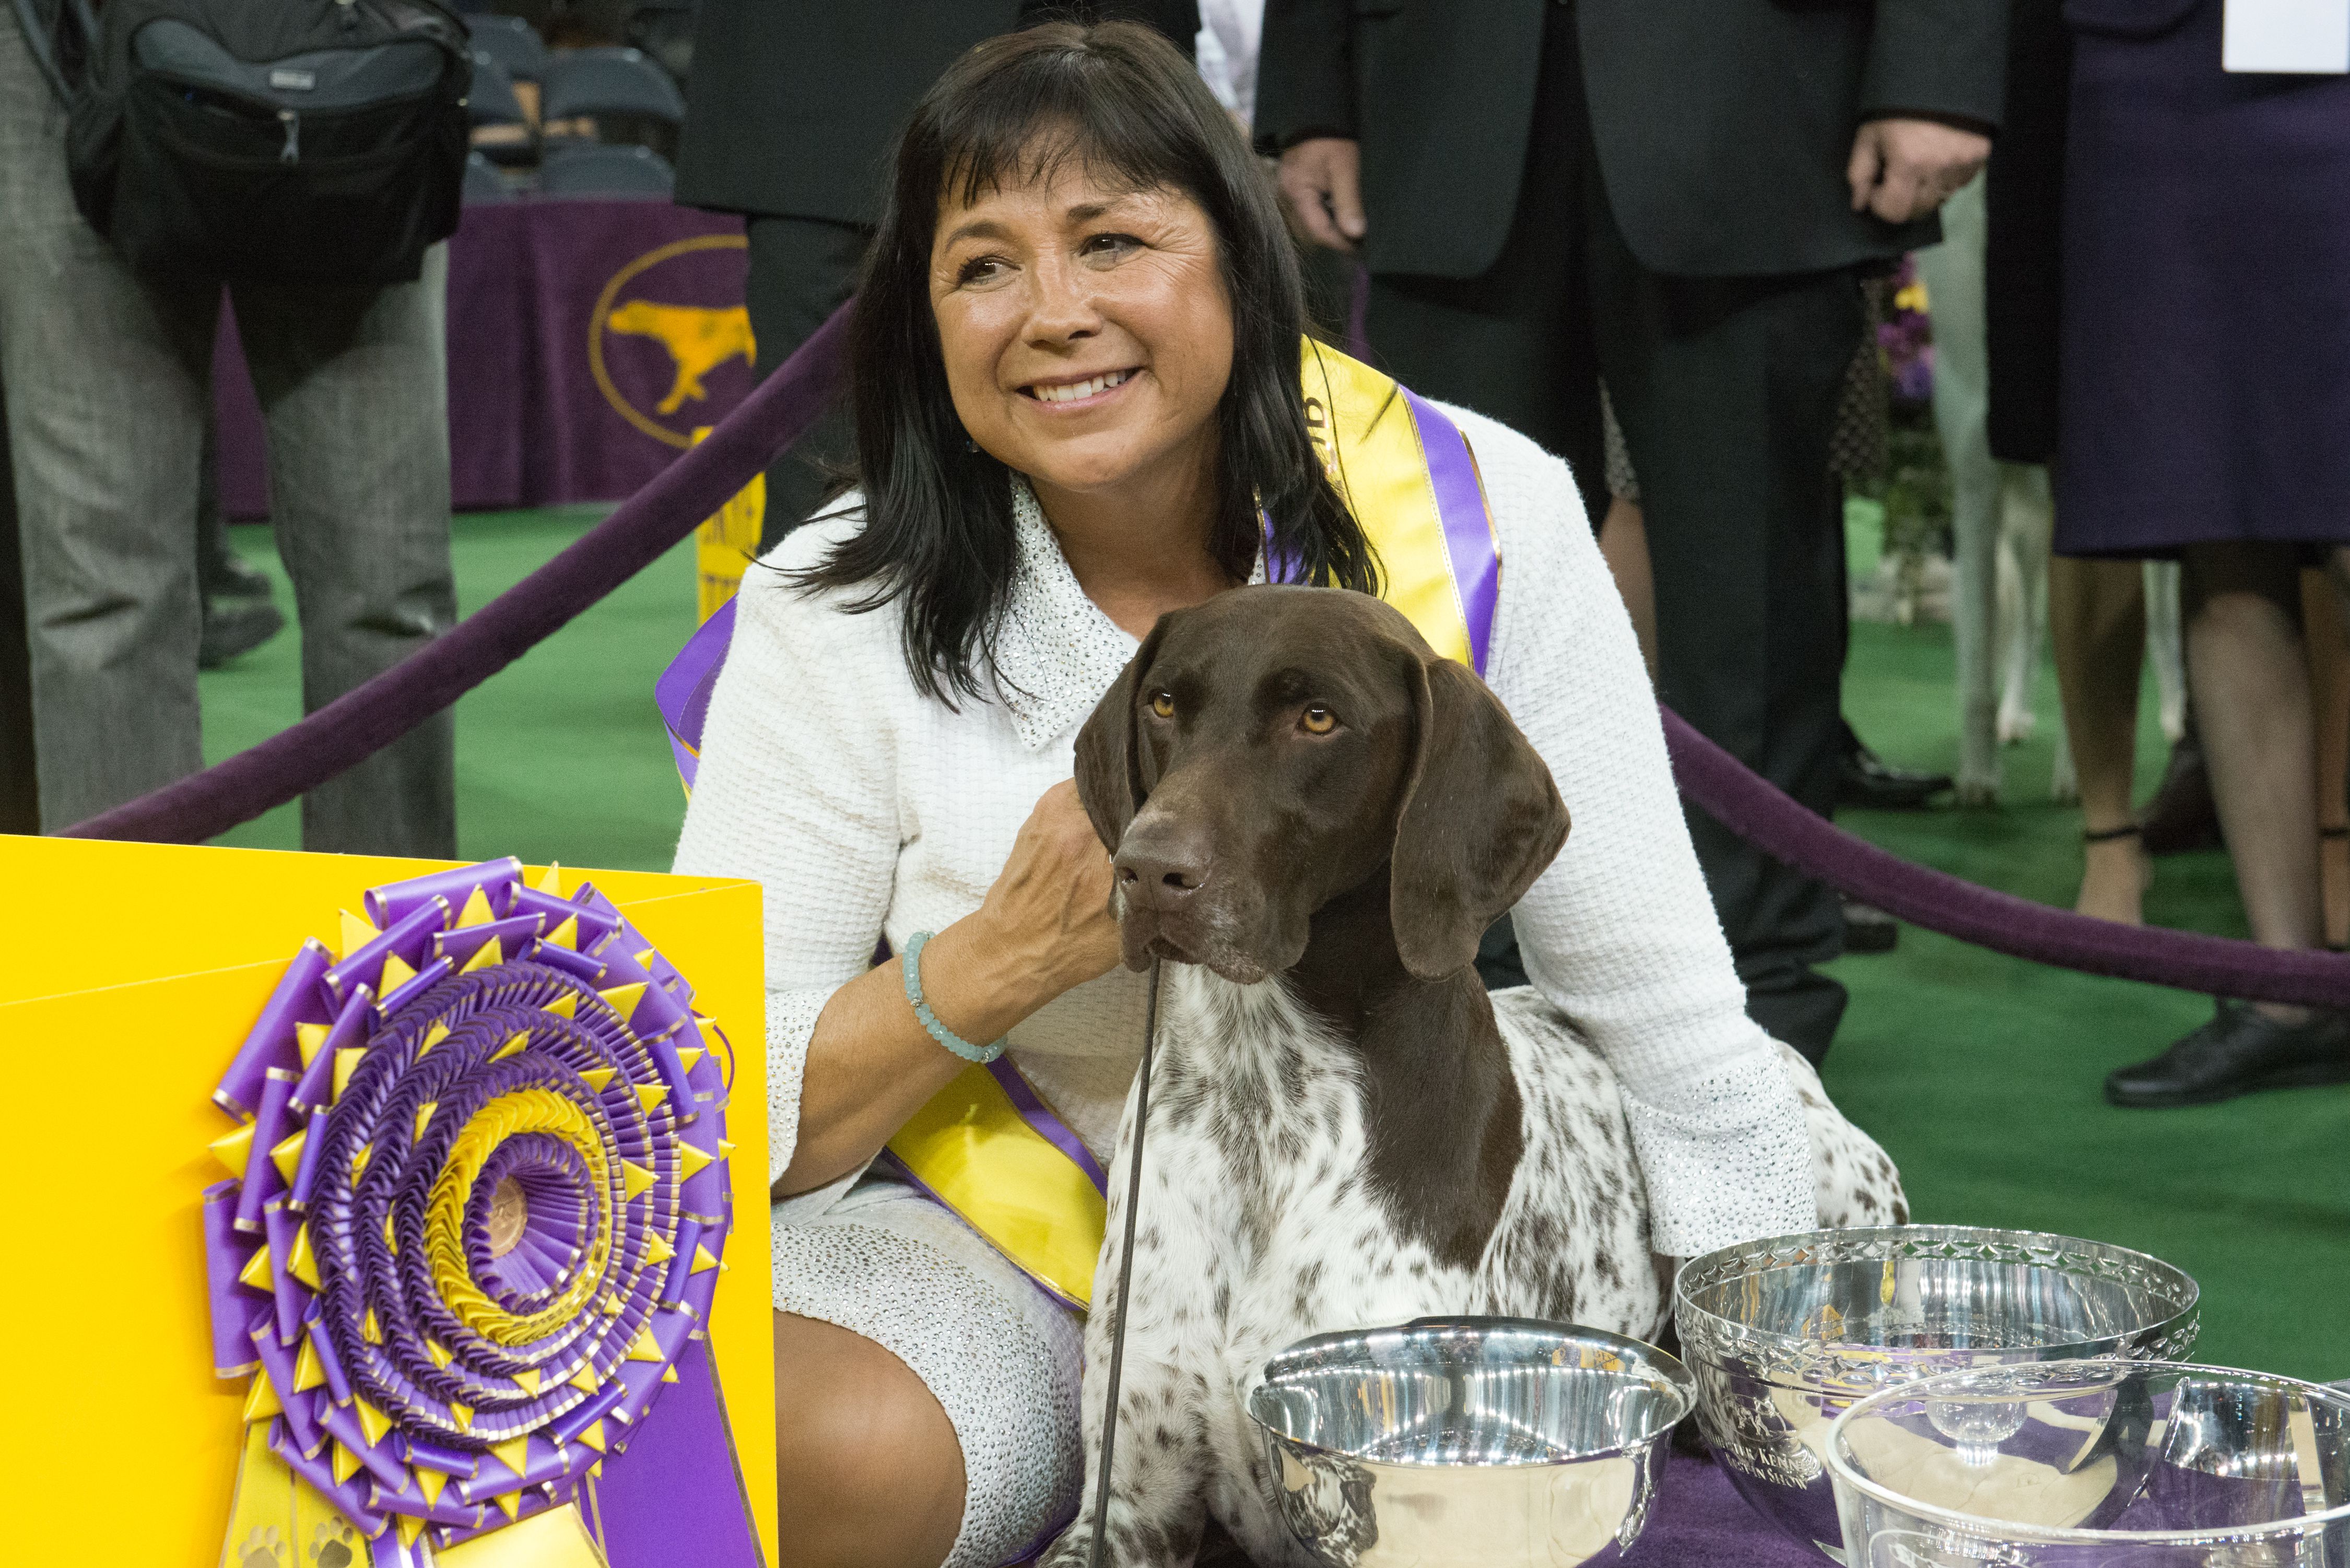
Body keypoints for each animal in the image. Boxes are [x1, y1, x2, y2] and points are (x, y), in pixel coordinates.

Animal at [1058, 587, 1899, 1568]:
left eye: (1318, 718)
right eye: (1163, 704)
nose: (1150, 868)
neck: (1262, 1094)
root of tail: (1784, 1053)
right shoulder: (1129, 1501)